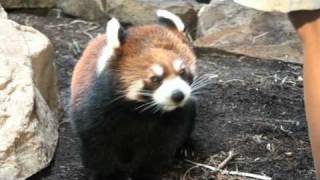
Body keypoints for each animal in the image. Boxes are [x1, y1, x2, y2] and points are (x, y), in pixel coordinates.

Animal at [70, 9, 198, 180]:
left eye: (182, 71)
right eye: (155, 79)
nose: (178, 95)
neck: (141, 109)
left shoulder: (174, 118)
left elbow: (160, 147)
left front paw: (145, 173)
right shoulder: (95, 109)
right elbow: (98, 146)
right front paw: (110, 175)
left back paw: (186, 146)